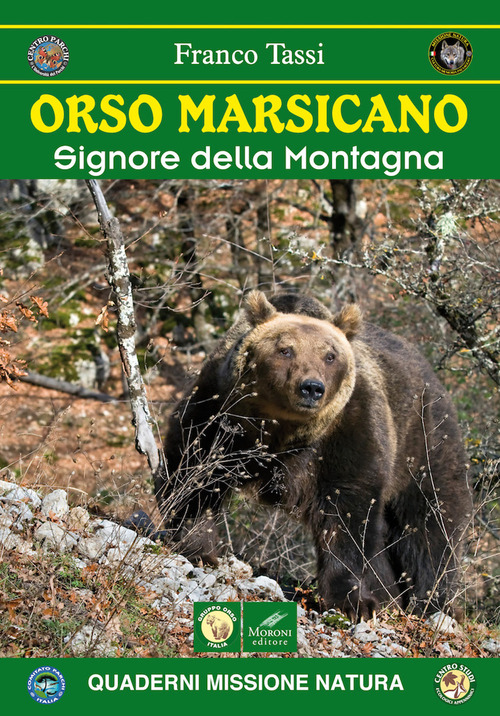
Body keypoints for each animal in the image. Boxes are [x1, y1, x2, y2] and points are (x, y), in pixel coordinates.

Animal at [154, 291, 472, 620]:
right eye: (285, 350)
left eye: (330, 356)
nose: (311, 388)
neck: (281, 430)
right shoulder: (220, 415)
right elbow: (193, 471)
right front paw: (198, 546)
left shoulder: (346, 430)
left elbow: (347, 515)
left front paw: (351, 601)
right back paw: (392, 596)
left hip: (422, 440)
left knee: (431, 523)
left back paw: (432, 603)